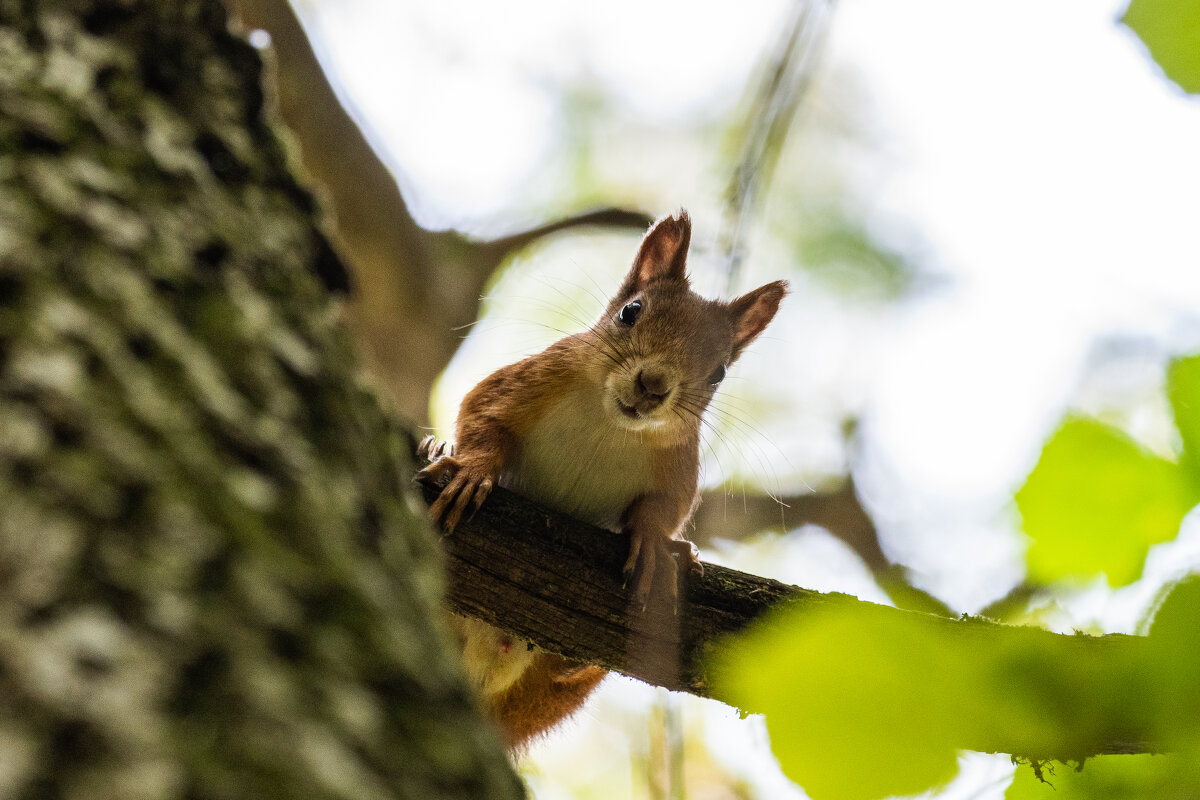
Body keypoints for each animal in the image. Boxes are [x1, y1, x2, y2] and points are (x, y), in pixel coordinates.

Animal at [417, 208, 782, 753]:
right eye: (630, 311)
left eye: (718, 372)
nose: (652, 386)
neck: (613, 426)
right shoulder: (527, 379)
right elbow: (483, 417)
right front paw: (472, 467)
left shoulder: (679, 465)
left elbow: (664, 507)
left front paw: (653, 541)